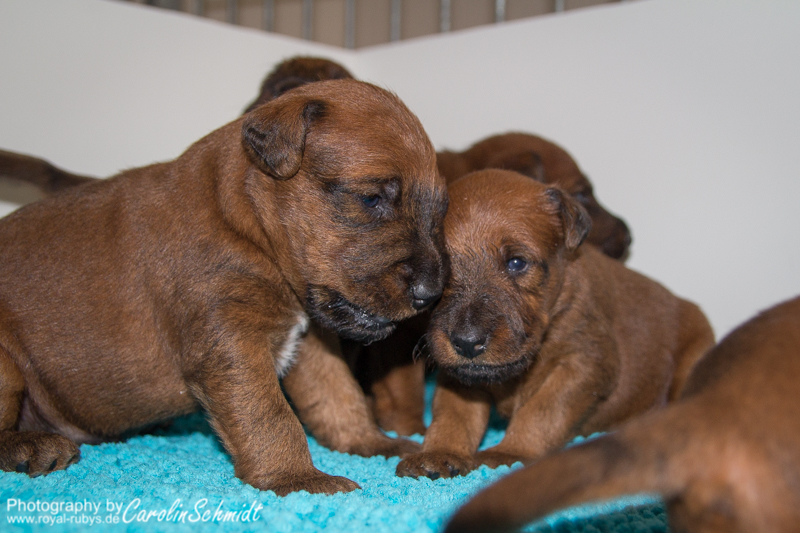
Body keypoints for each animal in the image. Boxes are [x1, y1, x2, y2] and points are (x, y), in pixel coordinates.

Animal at [0, 80, 448, 495]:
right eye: (370, 198)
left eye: (439, 211)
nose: (431, 293)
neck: (244, 220)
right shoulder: (231, 341)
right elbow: (271, 415)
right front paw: (298, 479)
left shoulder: (310, 344)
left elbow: (340, 396)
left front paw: (374, 443)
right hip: (7, 363)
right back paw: (33, 446)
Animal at [395, 169, 714, 480]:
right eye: (440, 268)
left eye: (516, 263)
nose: (466, 342)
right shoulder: (459, 373)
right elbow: (454, 412)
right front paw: (438, 453)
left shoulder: (584, 363)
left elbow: (543, 411)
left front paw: (511, 453)